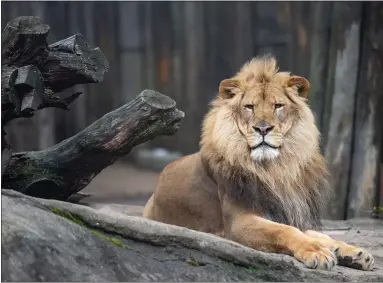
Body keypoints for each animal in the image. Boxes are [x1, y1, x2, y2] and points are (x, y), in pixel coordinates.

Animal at [143, 56, 376, 272]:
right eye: (249, 107)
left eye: (278, 106)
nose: (263, 128)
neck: (274, 169)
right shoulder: (239, 222)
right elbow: (285, 230)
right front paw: (317, 252)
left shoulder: (286, 212)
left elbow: (317, 234)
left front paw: (352, 252)